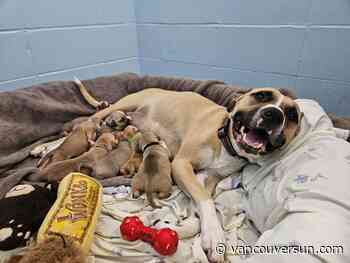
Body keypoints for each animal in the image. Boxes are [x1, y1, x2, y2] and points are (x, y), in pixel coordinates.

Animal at [81, 88, 300, 262]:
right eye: (261, 95)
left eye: (292, 114)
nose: (274, 114)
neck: (225, 140)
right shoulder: (181, 165)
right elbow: (206, 201)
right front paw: (214, 235)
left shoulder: (207, 177)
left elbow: (201, 205)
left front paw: (185, 228)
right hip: (126, 103)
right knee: (95, 116)